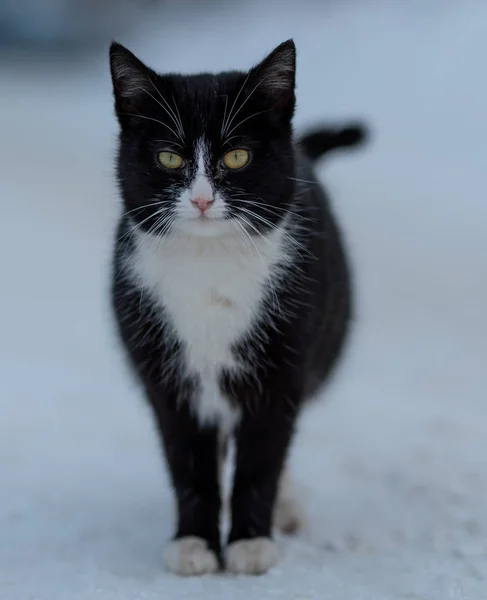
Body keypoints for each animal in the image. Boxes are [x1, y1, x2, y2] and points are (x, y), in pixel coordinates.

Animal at [109, 39, 366, 576]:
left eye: (238, 155)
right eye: (169, 157)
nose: (203, 200)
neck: (210, 265)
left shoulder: (283, 366)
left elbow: (262, 457)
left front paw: (250, 544)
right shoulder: (165, 371)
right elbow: (188, 460)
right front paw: (194, 543)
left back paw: (285, 508)